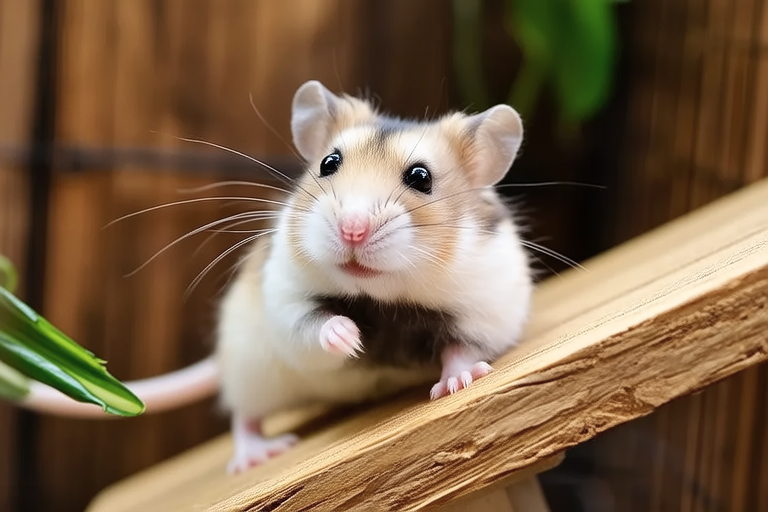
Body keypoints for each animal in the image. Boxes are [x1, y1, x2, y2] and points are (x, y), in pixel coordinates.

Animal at [216, 81, 533, 473]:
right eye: (328, 163)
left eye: (421, 177)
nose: (352, 230)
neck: (378, 295)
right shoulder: (288, 305)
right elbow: (314, 328)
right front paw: (351, 337)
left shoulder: (485, 314)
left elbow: (462, 349)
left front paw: (457, 383)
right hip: (249, 367)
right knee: (244, 416)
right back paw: (255, 455)